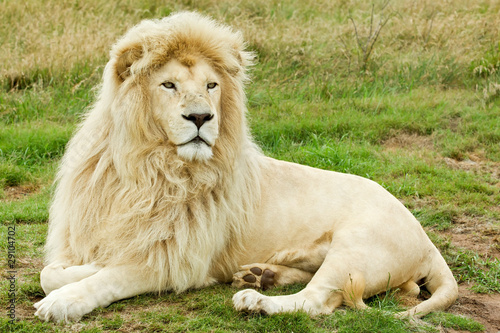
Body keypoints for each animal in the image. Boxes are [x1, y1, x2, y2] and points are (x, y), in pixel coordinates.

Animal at [34, 12, 458, 322]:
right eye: (169, 85)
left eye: (211, 85)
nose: (201, 117)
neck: (148, 167)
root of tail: (426, 240)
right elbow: (51, 272)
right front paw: (73, 275)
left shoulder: (178, 261)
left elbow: (111, 275)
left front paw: (64, 300)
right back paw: (263, 275)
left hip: (356, 246)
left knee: (317, 301)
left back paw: (256, 299)